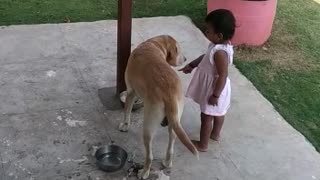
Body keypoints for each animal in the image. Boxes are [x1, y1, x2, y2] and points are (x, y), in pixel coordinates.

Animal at [117, 34, 198, 179]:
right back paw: (167, 163)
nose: (185, 59)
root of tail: (168, 92)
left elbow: (127, 112)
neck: (154, 44)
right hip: (175, 124)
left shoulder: (131, 92)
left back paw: (144, 172)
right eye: (178, 50)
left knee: (149, 156)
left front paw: (125, 126)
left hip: (148, 126)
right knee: (171, 147)